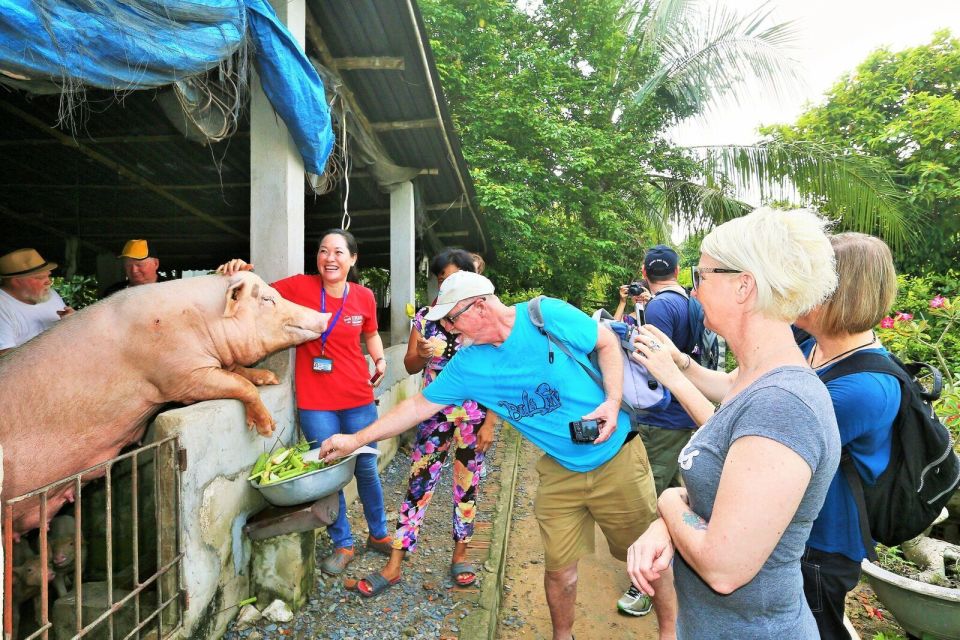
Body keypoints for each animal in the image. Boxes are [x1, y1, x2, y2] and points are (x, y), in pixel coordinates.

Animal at [0, 272, 330, 536]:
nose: (325, 317)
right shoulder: (181, 378)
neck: (203, 323)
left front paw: (269, 378)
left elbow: (239, 372)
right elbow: (238, 383)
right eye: (267, 299)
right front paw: (264, 427)